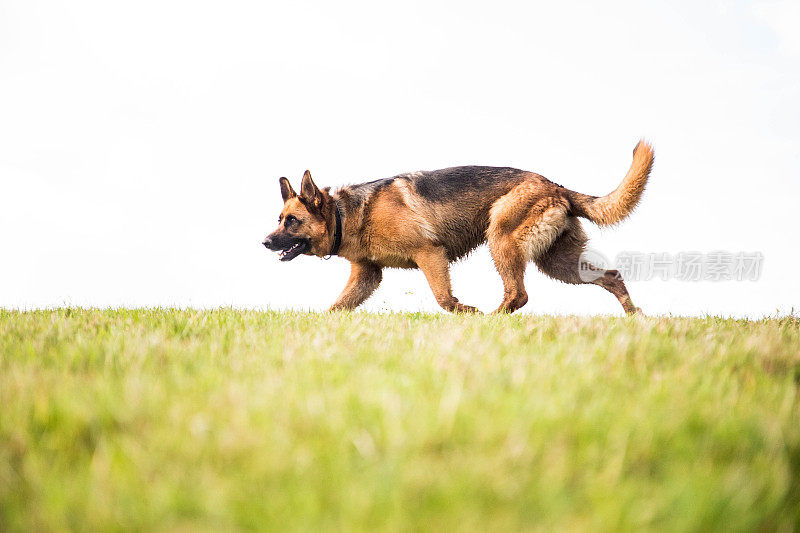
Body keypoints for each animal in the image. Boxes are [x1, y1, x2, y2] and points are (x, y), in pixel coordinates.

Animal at [266, 139, 652, 314]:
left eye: (293, 221)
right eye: (279, 220)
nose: (265, 242)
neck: (346, 214)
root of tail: (556, 186)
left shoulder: (430, 254)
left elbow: (444, 298)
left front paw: (466, 312)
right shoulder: (367, 275)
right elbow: (337, 307)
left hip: (501, 239)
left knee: (518, 294)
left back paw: (491, 319)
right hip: (559, 264)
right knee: (612, 276)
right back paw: (633, 316)